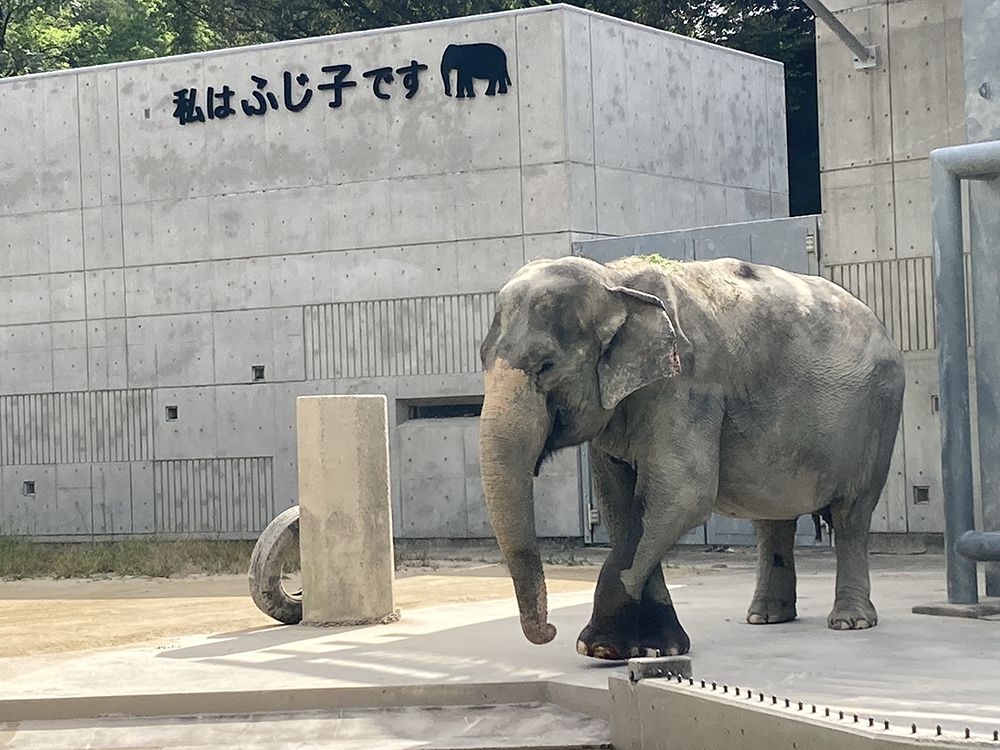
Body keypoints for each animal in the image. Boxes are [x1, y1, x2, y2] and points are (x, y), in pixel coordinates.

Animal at [476, 256, 908, 660]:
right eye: (481, 358)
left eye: (545, 366)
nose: (549, 631)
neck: (614, 280)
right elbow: (620, 502)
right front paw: (655, 649)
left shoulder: (688, 383)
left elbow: (682, 492)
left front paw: (601, 648)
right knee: (772, 520)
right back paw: (766, 617)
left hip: (877, 418)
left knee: (852, 515)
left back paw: (850, 622)